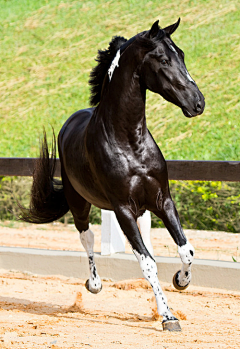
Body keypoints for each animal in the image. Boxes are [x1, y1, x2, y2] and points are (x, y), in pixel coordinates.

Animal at [20, 19, 204, 332]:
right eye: (163, 60)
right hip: (80, 204)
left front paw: (181, 281)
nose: (198, 103)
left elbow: (185, 250)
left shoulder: (162, 200)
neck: (129, 141)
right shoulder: (123, 209)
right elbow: (147, 263)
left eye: (181, 54)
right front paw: (168, 317)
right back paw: (94, 284)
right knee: (88, 237)